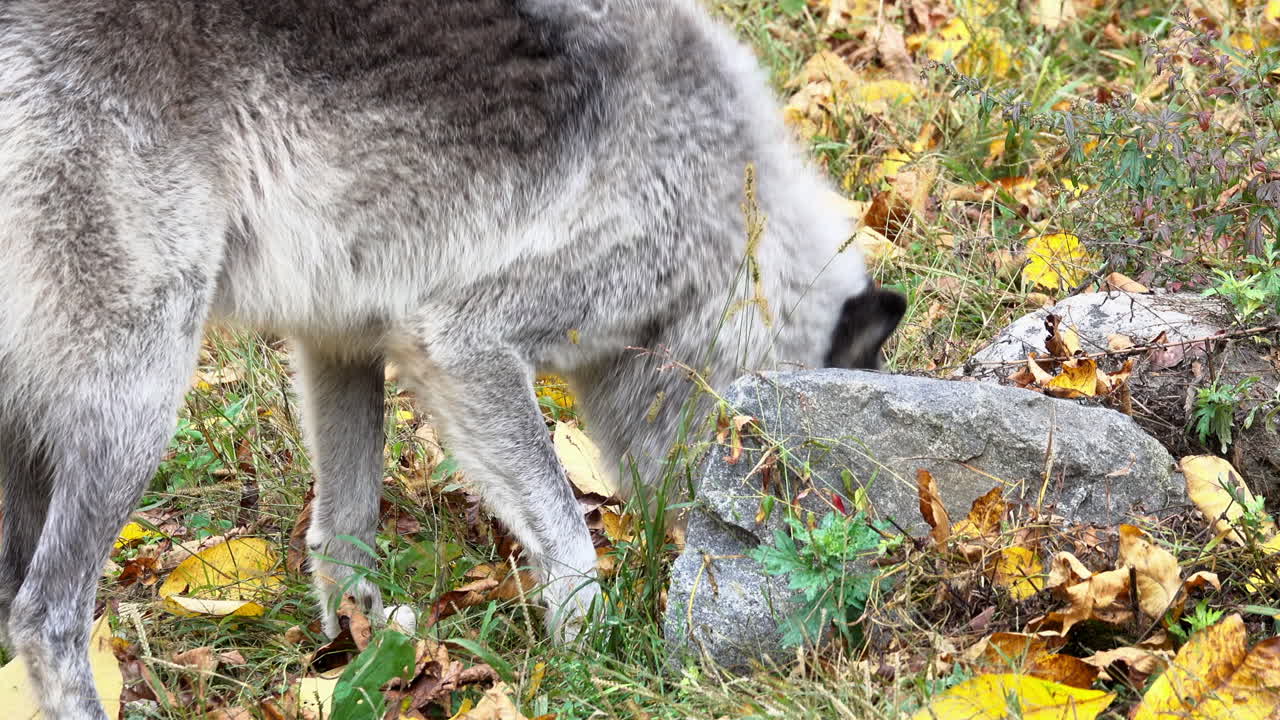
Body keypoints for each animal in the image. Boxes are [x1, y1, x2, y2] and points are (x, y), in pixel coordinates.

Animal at [0, 0, 904, 716]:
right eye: (793, 480)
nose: (831, 624)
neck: (725, 214)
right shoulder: (463, 342)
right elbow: (570, 539)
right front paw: (588, 659)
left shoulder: (340, 344)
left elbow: (344, 532)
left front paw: (359, 655)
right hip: (140, 398)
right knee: (44, 616)